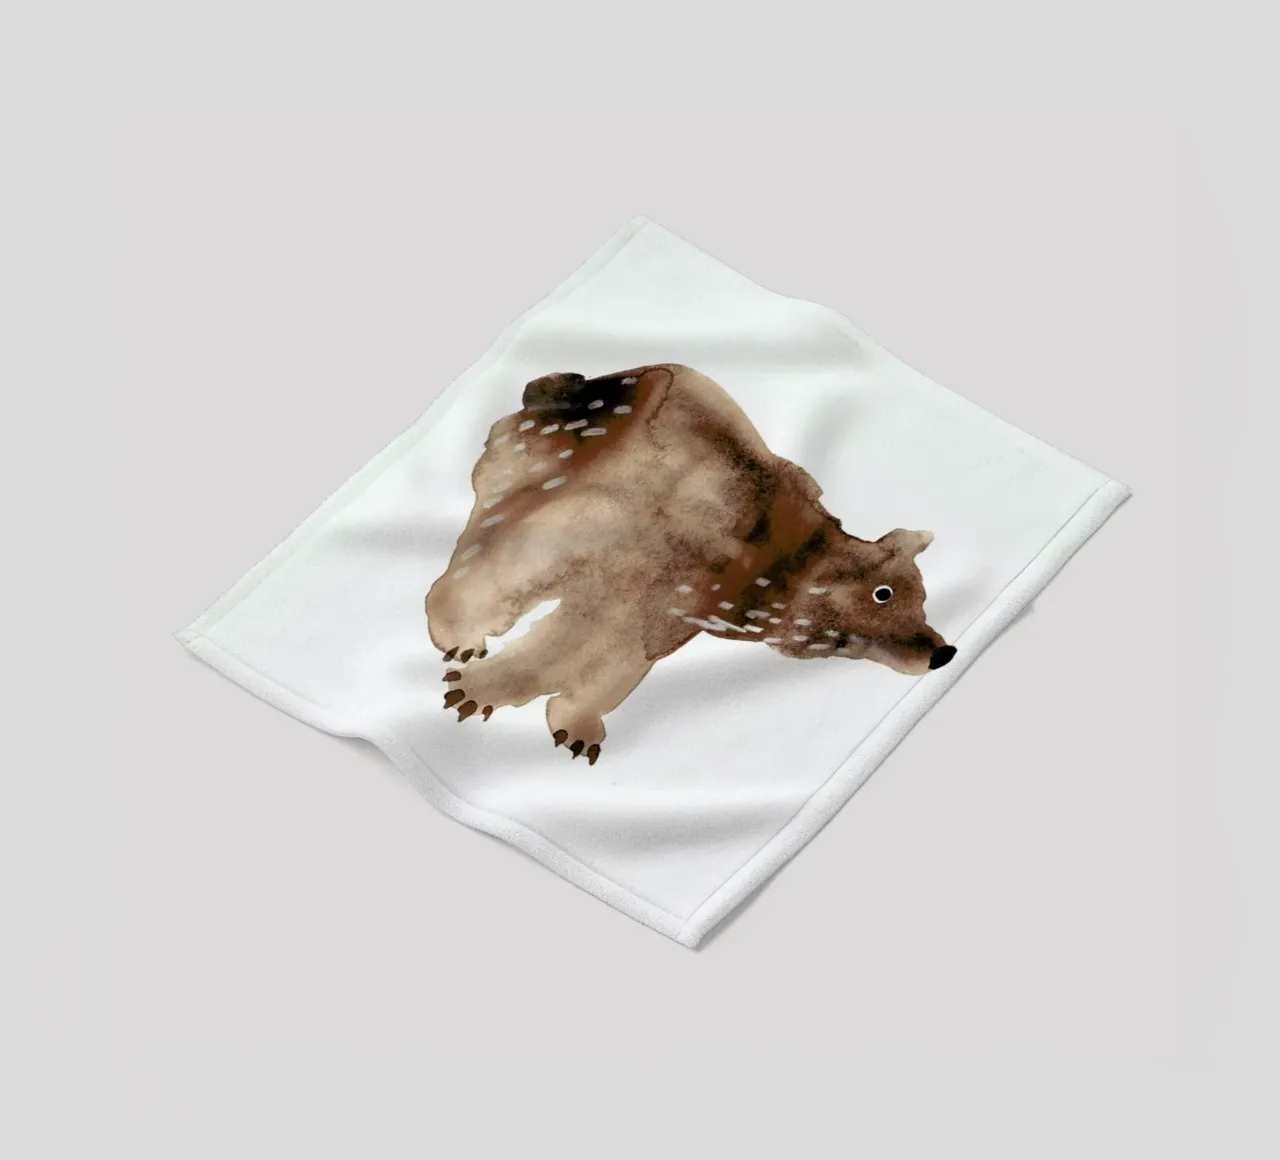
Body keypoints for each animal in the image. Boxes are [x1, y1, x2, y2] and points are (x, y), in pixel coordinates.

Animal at [425, 364, 954, 764]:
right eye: (884, 593)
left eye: (924, 600)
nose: (943, 652)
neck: (783, 568)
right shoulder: (625, 581)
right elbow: (554, 651)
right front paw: (484, 689)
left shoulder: (663, 616)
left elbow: (614, 670)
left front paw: (574, 721)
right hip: (559, 507)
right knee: (479, 563)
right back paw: (455, 631)